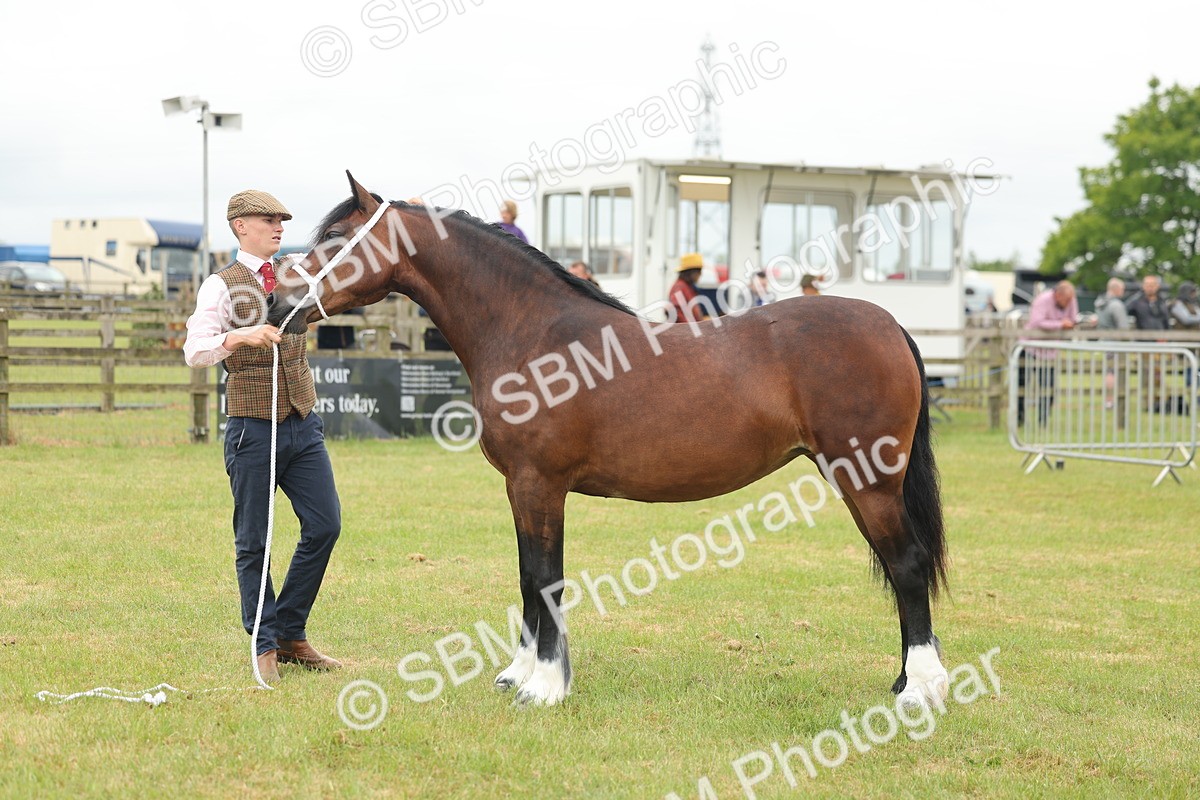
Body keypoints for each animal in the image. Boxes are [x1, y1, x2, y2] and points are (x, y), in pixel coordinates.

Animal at [266, 173, 951, 708]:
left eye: (334, 241)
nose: (276, 302)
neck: (533, 334)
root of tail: (889, 326)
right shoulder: (523, 490)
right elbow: (528, 577)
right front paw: (518, 675)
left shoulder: (539, 485)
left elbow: (546, 578)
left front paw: (544, 686)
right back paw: (903, 680)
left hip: (868, 479)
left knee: (907, 565)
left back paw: (920, 689)